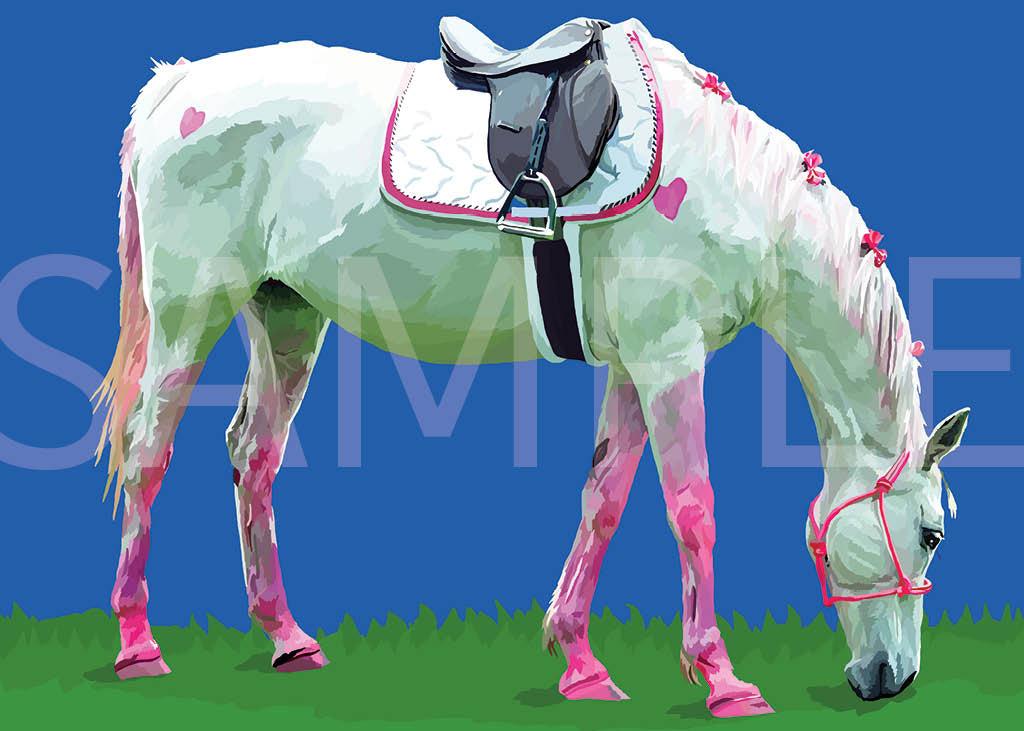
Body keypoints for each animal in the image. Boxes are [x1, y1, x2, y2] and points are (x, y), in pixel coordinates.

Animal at [92, 18, 970, 718]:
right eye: (929, 533)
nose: (891, 677)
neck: (741, 192)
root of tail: (176, 84)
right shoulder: (669, 357)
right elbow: (693, 509)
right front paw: (722, 678)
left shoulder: (632, 364)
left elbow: (603, 499)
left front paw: (580, 662)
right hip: (189, 312)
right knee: (147, 451)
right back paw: (137, 641)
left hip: (286, 314)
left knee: (253, 454)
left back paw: (286, 635)